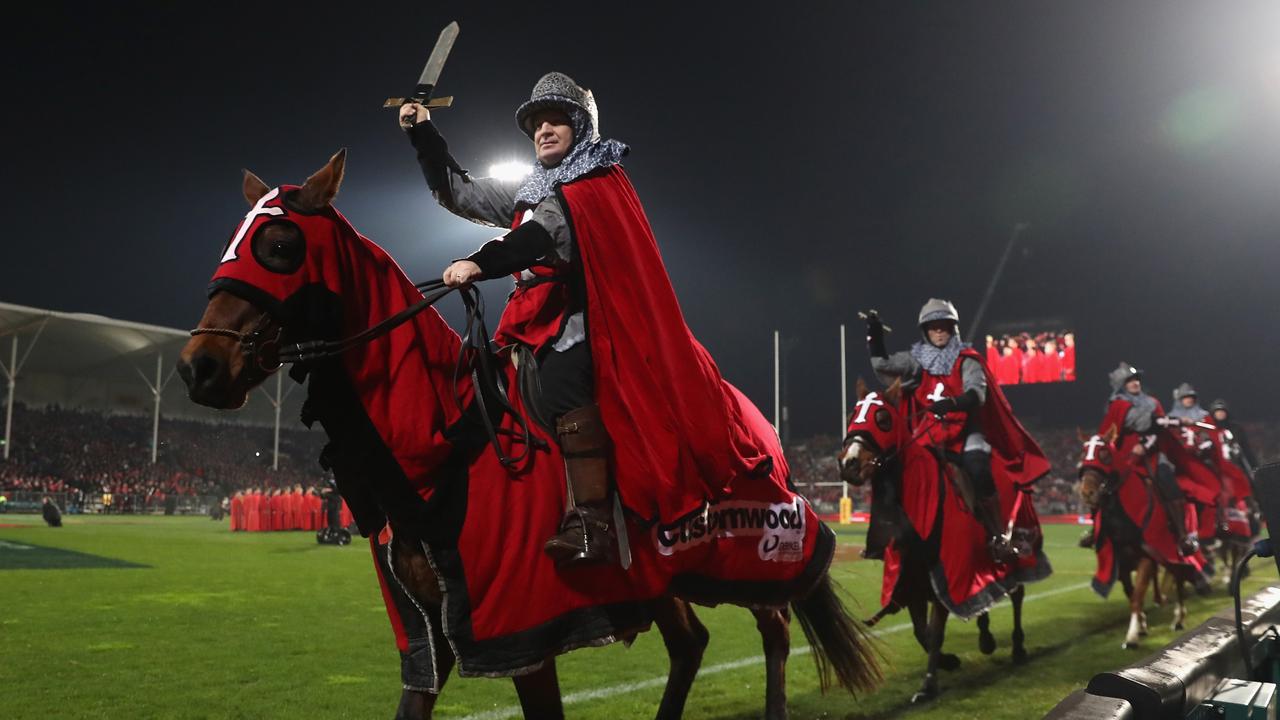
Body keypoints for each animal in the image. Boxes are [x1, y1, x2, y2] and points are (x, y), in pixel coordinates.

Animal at [177, 151, 880, 717]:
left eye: (279, 244)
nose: (198, 367)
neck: (448, 436)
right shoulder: (430, 632)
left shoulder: (524, 637)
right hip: (658, 580)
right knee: (692, 645)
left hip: (753, 554)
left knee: (775, 630)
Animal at [834, 379, 1044, 696]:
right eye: (852, 415)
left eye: (882, 418)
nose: (850, 463)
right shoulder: (911, 577)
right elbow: (921, 632)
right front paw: (948, 662)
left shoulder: (943, 576)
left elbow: (934, 632)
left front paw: (929, 684)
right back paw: (986, 637)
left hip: (1014, 552)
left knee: (1017, 594)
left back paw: (1018, 647)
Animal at [1075, 422, 1203, 648]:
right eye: (1083, 453)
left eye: (1104, 453)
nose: (1087, 492)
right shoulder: (1121, 562)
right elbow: (1131, 593)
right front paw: (1142, 625)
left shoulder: (1146, 558)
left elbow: (1137, 595)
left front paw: (1132, 636)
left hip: (1175, 551)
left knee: (1179, 575)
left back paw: (1179, 618)